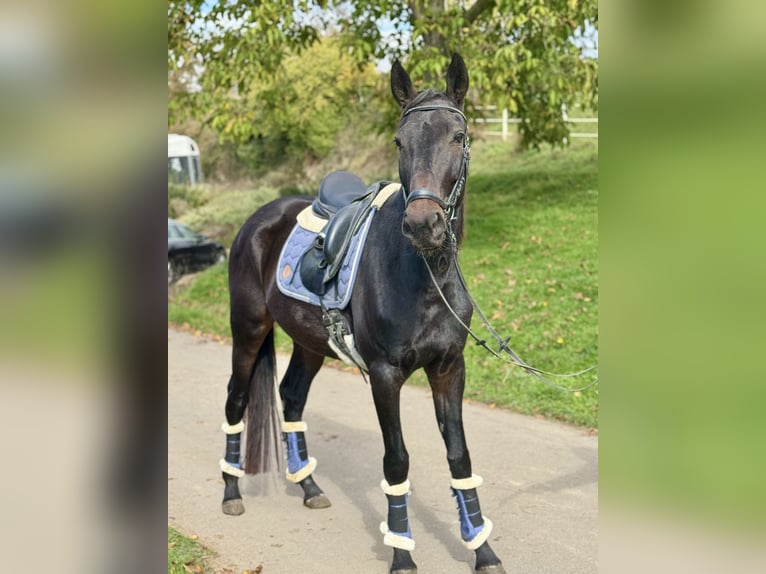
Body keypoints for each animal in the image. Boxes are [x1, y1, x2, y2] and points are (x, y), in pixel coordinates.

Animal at [218, 53, 505, 574]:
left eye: (458, 136)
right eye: (399, 141)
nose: (423, 224)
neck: (424, 278)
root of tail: (259, 217)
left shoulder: (449, 369)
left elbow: (459, 457)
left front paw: (482, 549)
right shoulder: (384, 375)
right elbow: (397, 460)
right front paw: (402, 554)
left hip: (309, 344)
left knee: (291, 397)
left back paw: (309, 486)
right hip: (247, 330)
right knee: (236, 399)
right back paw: (231, 493)